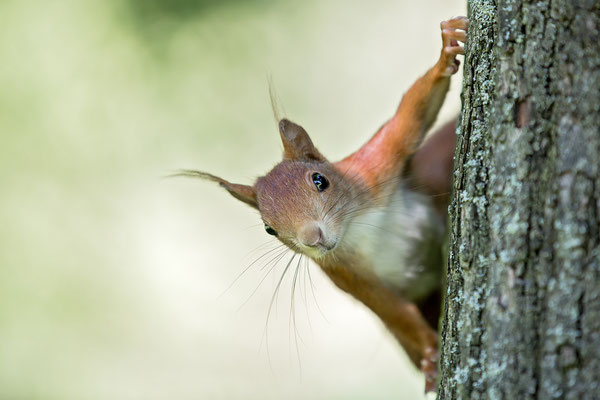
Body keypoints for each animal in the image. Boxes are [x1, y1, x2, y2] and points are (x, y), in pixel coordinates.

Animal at [178, 16, 468, 394]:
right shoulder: (345, 275)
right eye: (269, 229)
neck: (355, 231)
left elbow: (413, 114)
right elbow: (394, 311)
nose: (311, 238)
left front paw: (446, 49)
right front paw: (432, 352)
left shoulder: (375, 166)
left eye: (320, 180)